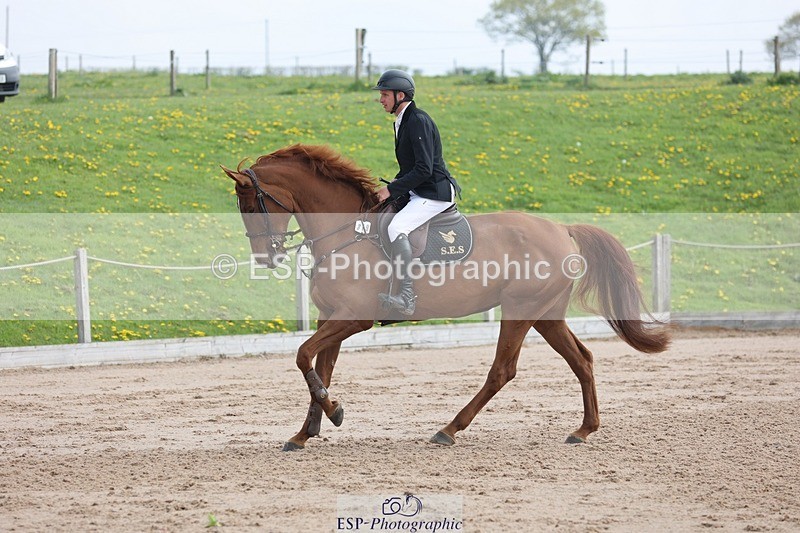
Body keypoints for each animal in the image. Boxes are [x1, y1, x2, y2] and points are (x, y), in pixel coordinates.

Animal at [221, 143, 670, 451]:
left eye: (251, 206)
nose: (266, 258)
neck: (347, 233)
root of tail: (562, 229)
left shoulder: (353, 318)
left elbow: (303, 356)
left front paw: (333, 414)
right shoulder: (329, 317)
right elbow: (320, 369)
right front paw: (307, 431)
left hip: (520, 309)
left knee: (502, 370)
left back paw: (449, 429)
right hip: (545, 314)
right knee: (582, 360)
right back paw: (583, 429)